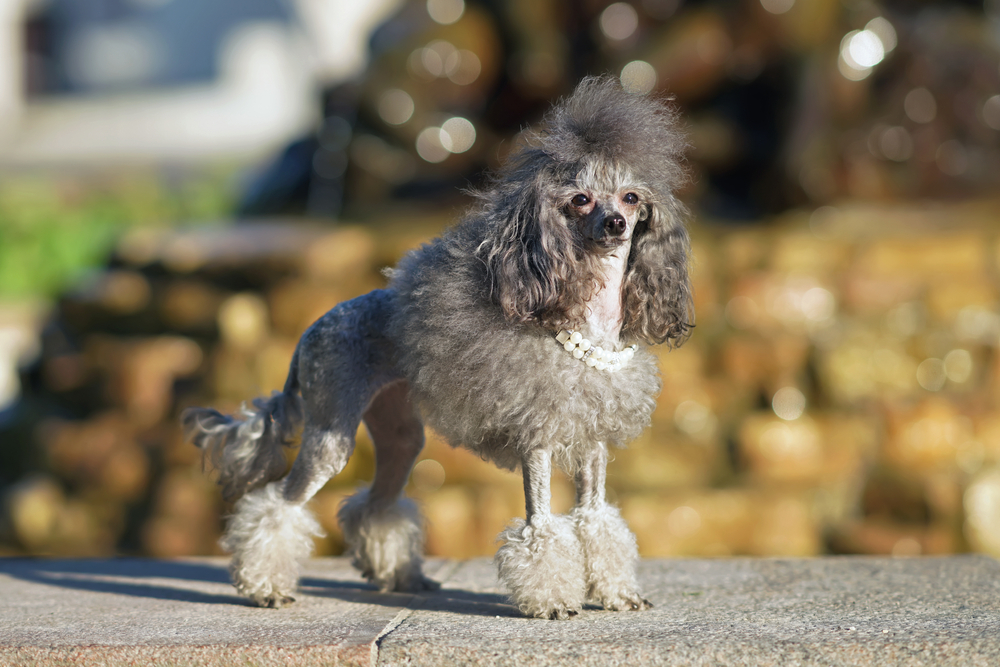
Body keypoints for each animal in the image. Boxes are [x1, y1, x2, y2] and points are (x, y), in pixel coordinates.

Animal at [184, 77, 692, 620]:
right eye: (580, 199)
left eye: (631, 197)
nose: (616, 223)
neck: (587, 323)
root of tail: (309, 333)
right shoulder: (538, 441)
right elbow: (540, 529)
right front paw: (552, 602)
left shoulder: (592, 445)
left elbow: (597, 522)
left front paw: (617, 594)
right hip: (330, 432)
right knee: (278, 504)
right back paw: (264, 586)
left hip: (399, 433)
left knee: (377, 506)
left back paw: (398, 576)